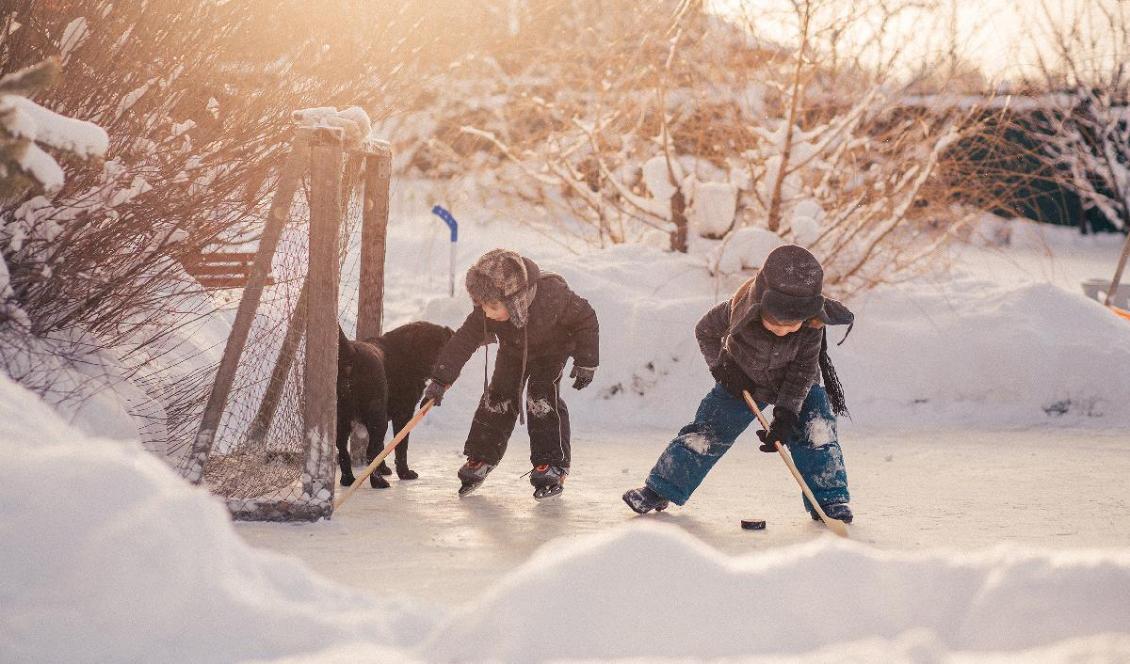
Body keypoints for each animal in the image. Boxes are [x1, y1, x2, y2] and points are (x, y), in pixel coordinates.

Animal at [334, 320, 454, 487]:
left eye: (444, 346)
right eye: (426, 345)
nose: (439, 366)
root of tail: (352, 352)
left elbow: (382, 447)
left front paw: (384, 468)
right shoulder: (404, 414)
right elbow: (400, 446)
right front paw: (404, 473)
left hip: (342, 419)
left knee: (344, 452)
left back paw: (348, 480)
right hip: (377, 416)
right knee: (370, 451)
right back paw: (378, 482)